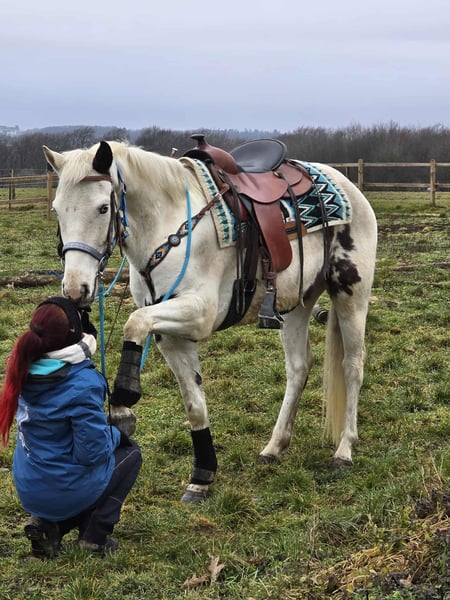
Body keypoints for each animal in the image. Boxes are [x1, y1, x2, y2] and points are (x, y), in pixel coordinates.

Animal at [42, 138, 377, 503]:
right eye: (57, 210)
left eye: (103, 208)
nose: (75, 289)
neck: (169, 226)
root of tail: (347, 186)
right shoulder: (172, 336)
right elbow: (194, 405)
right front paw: (202, 475)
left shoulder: (199, 314)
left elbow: (134, 322)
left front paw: (123, 403)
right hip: (295, 305)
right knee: (299, 367)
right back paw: (274, 447)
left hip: (351, 294)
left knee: (353, 365)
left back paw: (344, 451)